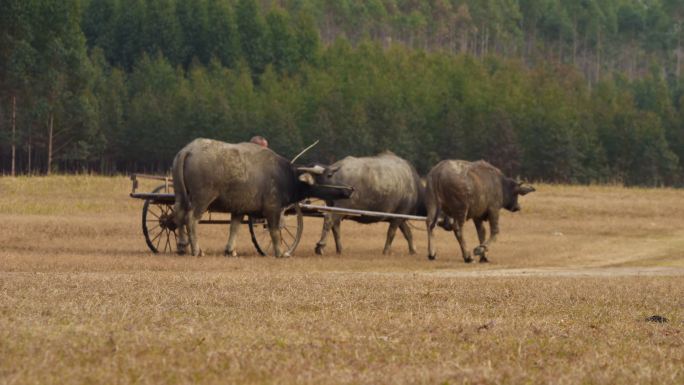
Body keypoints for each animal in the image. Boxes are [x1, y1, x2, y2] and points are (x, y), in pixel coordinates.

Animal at [171, 139, 352, 258]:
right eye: (329, 175)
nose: (349, 189)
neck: (285, 175)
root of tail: (188, 150)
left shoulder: (239, 208)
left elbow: (234, 228)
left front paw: (230, 250)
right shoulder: (273, 209)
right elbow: (275, 230)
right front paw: (280, 252)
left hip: (180, 195)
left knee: (178, 215)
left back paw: (181, 246)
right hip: (202, 199)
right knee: (191, 219)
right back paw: (196, 250)